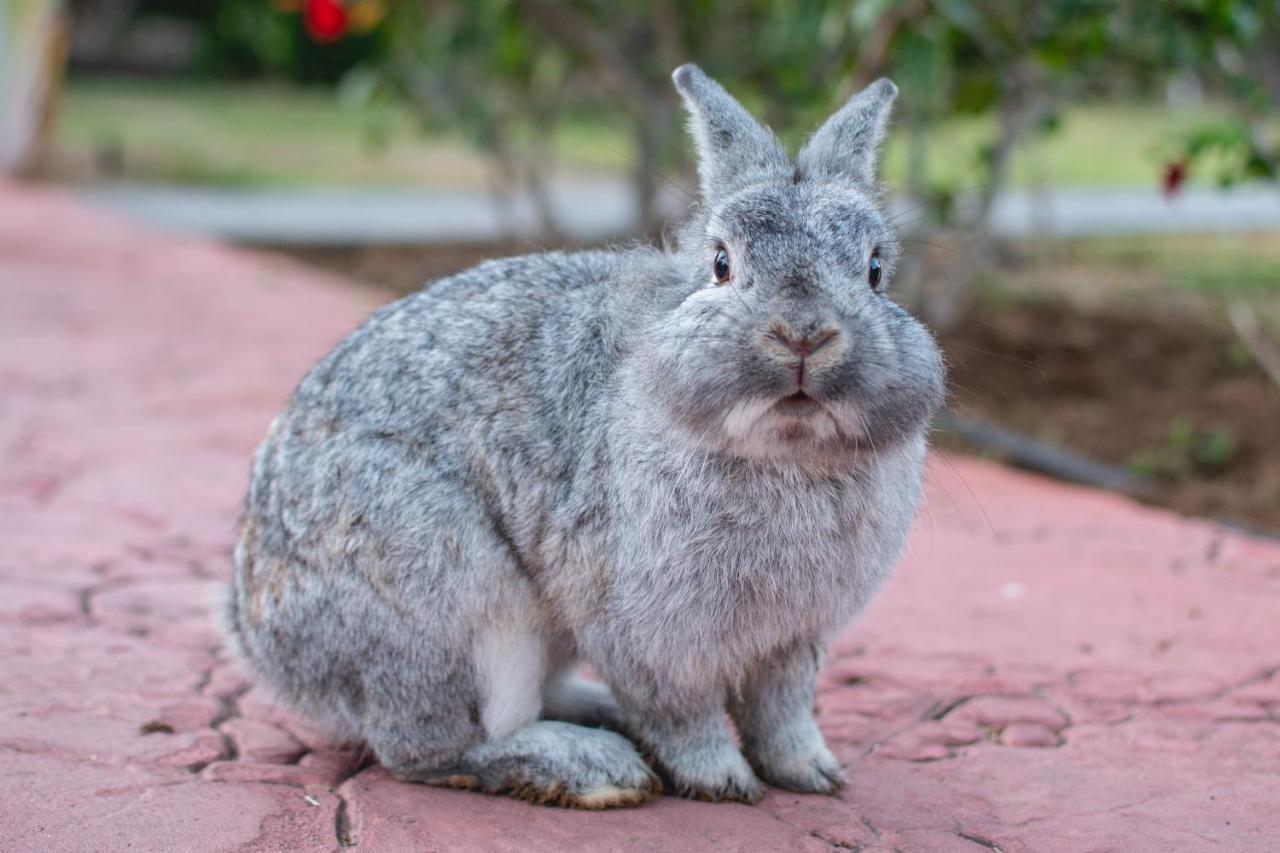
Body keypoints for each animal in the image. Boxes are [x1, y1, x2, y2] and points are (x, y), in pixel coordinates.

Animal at [227, 64, 942, 804]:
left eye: (875, 270)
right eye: (721, 262)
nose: (804, 334)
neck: (786, 449)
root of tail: (263, 643)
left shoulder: (795, 642)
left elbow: (782, 712)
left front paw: (812, 773)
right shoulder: (648, 635)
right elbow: (684, 715)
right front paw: (722, 781)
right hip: (456, 601)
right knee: (430, 748)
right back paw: (596, 766)